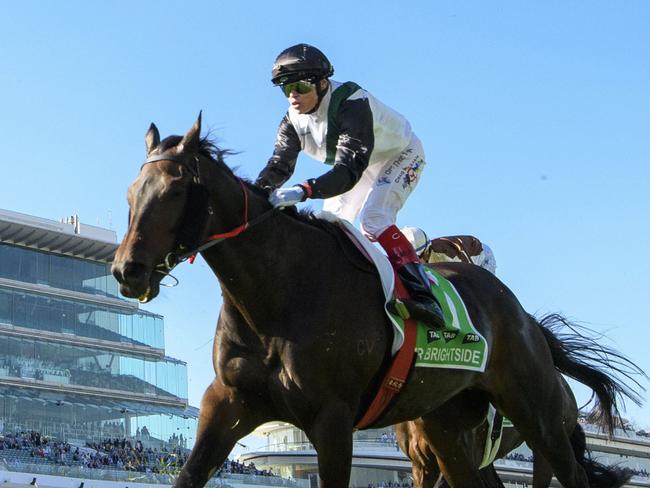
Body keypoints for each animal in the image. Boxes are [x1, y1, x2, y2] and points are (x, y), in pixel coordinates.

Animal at [112, 115, 644, 488]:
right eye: (132, 191)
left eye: (175, 189)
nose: (126, 269)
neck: (276, 295)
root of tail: (525, 318)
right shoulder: (227, 402)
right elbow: (188, 474)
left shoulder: (332, 420)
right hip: (450, 427)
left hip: (537, 415)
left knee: (570, 474)